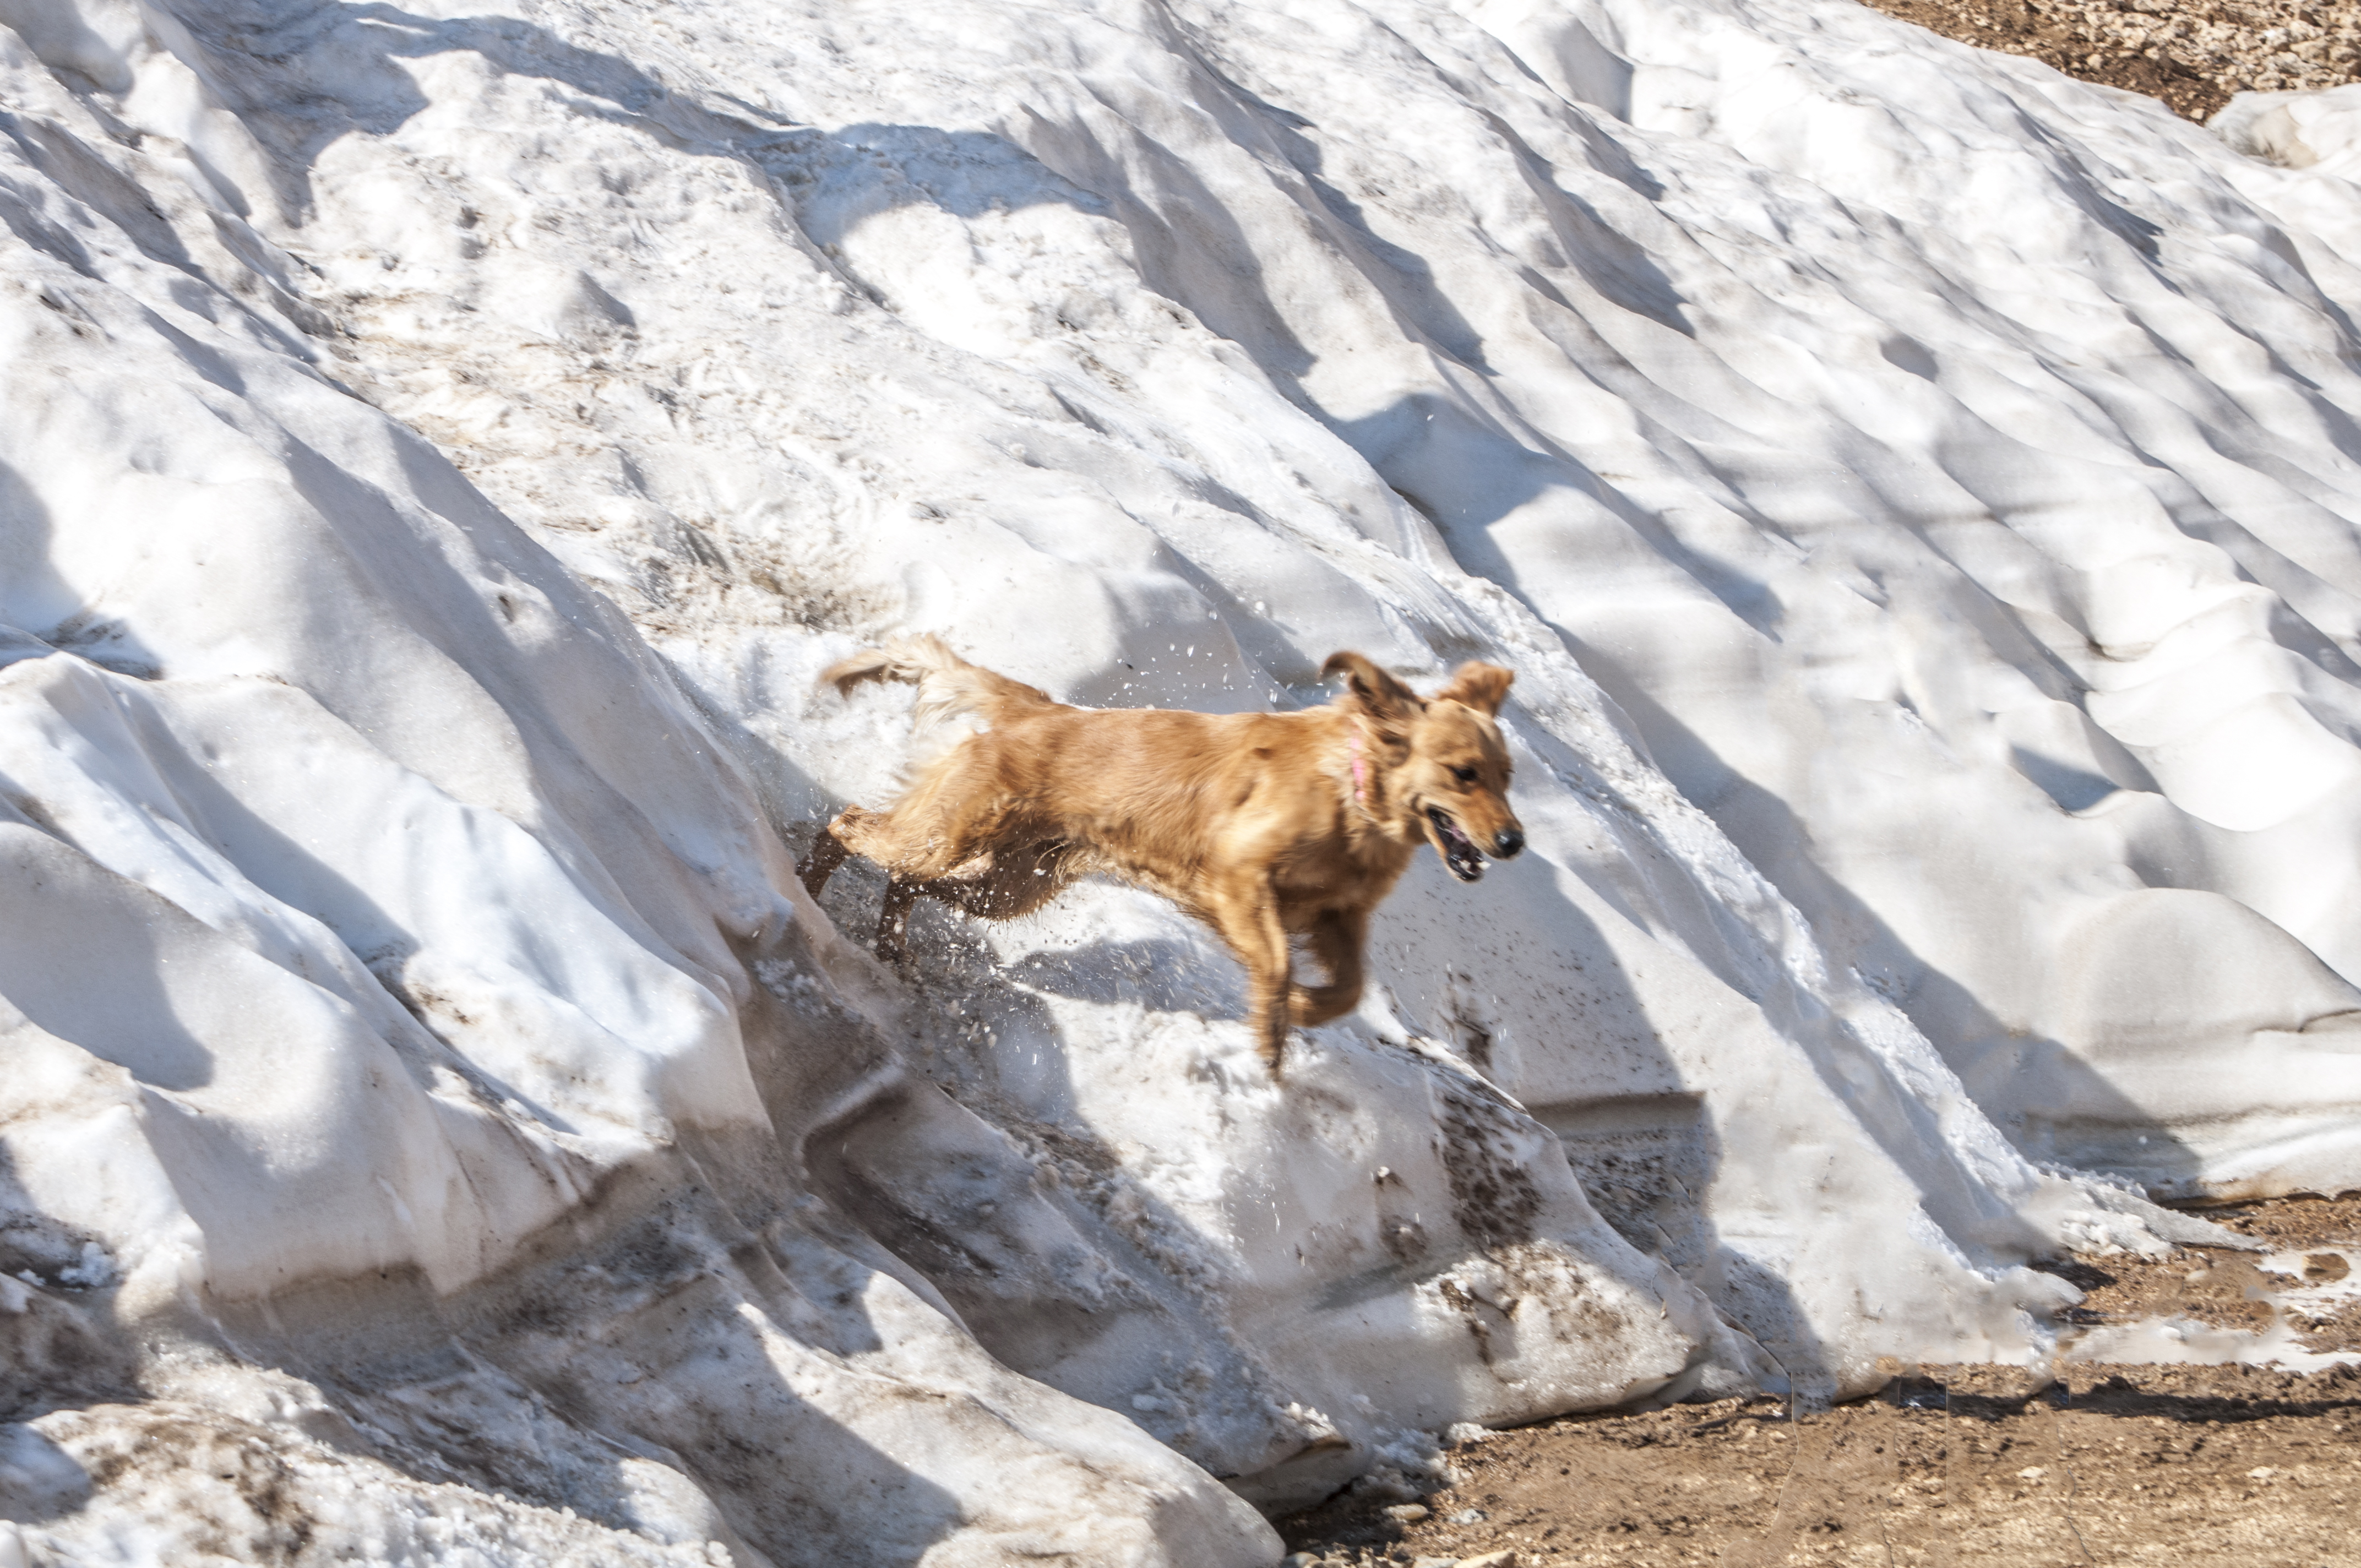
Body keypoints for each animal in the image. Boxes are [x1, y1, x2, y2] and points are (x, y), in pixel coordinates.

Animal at [802, 633, 1520, 1067]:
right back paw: (805, 891)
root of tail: (1041, 711)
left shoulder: (1338, 917)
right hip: (949, 835)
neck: (1353, 789)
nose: (1513, 841)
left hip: (1010, 884)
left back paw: (890, 946)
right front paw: (1274, 1027)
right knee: (846, 824)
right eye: (1464, 773)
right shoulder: (1239, 878)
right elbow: (1277, 961)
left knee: (905, 880)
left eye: (1507, 775)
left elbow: (1347, 988)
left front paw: (1299, 1012)